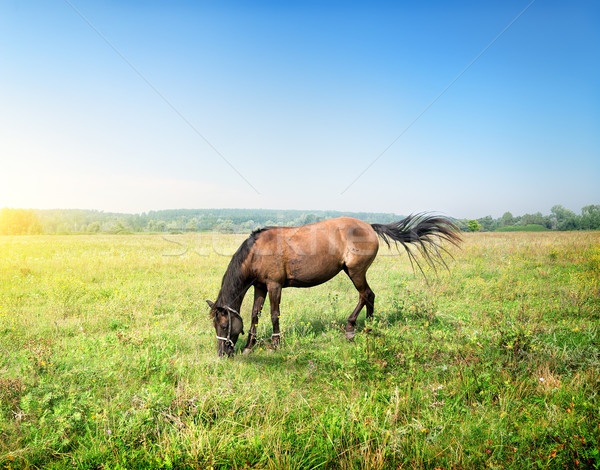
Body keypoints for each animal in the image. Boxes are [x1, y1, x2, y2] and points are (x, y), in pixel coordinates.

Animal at [205, 213, 460, 356]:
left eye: (224, 324)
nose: (222, 353)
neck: (257, 250)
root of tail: (369, 226)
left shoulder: (274, 285)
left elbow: (274, 314)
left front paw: (275, 344)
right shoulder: (260, 286)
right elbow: (255, 314)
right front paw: (250, 345)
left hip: (356, 271)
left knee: (366, 295)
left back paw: (354, 328)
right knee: (369, 296)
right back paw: (367, 326)